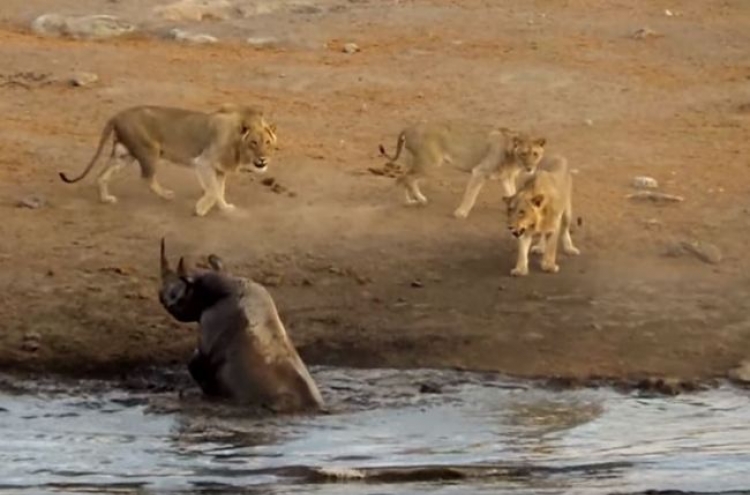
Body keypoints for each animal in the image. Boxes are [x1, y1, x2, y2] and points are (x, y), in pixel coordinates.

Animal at [56, 104, 280, 217]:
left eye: (268, 142)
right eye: (253, 143)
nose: (263, 159)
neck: (236, 144)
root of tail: (117, 115)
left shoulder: (219, 169)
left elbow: (219, 190)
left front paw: (224, 208)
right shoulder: (204, 162)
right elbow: (213, 190)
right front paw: (201, 209)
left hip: (124, 154)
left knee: (102, 175)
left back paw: (106, 198)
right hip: (149, 150)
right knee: (147, 178)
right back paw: (166, 195)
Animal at [378, 121, 548, 218]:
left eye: (535, 154)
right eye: (524, 153)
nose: (530, 168)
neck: (513, 156)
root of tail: (409, 128)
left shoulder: (506, 177)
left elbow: (512, 193)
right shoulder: (479, 172)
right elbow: (470, 196)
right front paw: (461, 213)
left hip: (416, 162)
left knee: (406, 178)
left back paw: (413, 199)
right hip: (430, 163)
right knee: (404, 178)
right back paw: (414, 201)